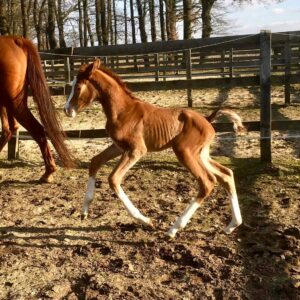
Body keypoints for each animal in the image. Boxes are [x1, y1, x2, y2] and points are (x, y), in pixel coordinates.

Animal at [65, 59, 244, 238]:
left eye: (78, 87)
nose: (67, 110)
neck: (122, 110)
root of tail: (207, 119)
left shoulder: (136, 150)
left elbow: (113, 179)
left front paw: (146, 220)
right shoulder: (118, 147)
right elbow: (95, 162)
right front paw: (84, 211)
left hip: (184, 151)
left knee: (207, 182)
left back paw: (173, 229)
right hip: (201, 154)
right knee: (226, 175)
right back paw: (232, 225)